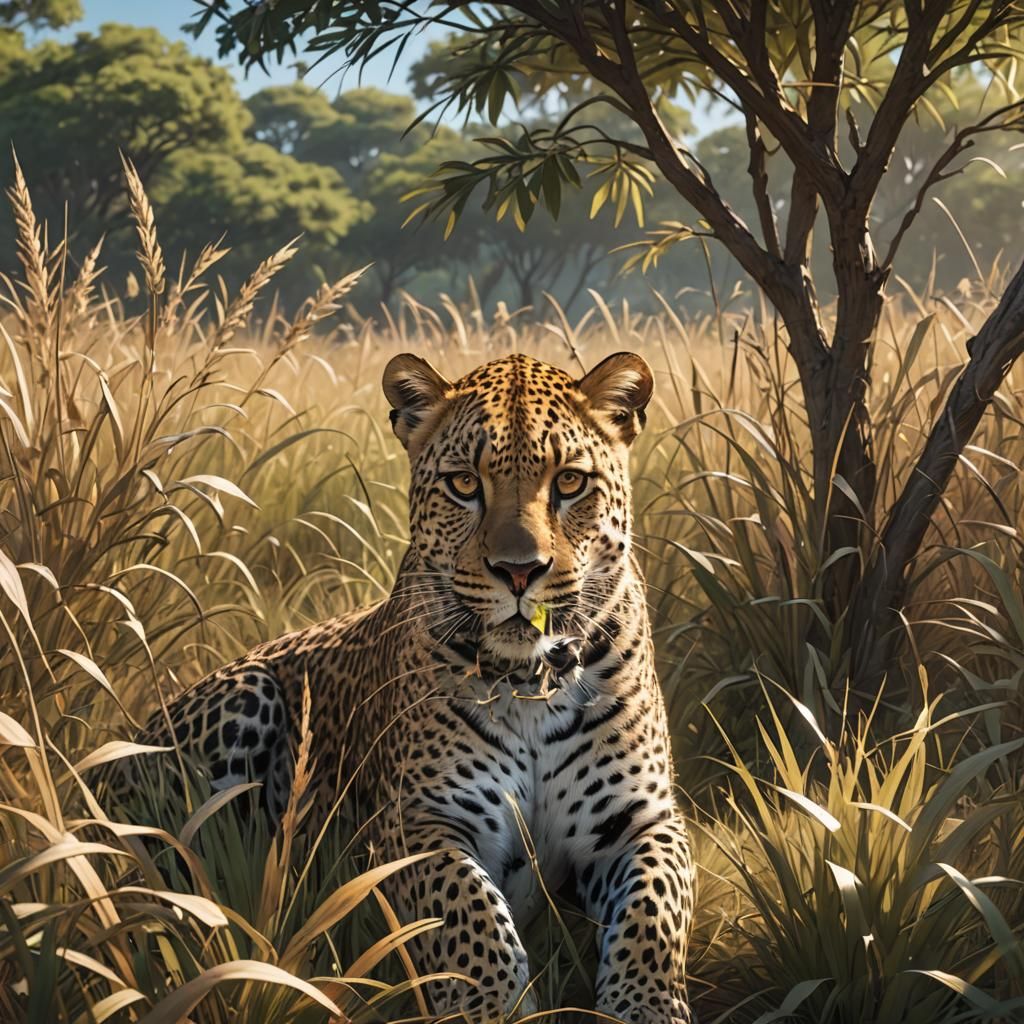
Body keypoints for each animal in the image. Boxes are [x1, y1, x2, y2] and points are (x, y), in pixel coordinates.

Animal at [110, 350, 695, 1023]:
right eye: (464, 484)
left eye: (570, 483)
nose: (519, 571)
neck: (529, 680)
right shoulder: (418, 822)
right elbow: (470, 913)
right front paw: (487, 1007)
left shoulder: (642, 821)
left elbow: (654, 913)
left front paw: (647, 1007)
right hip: (245, 696)